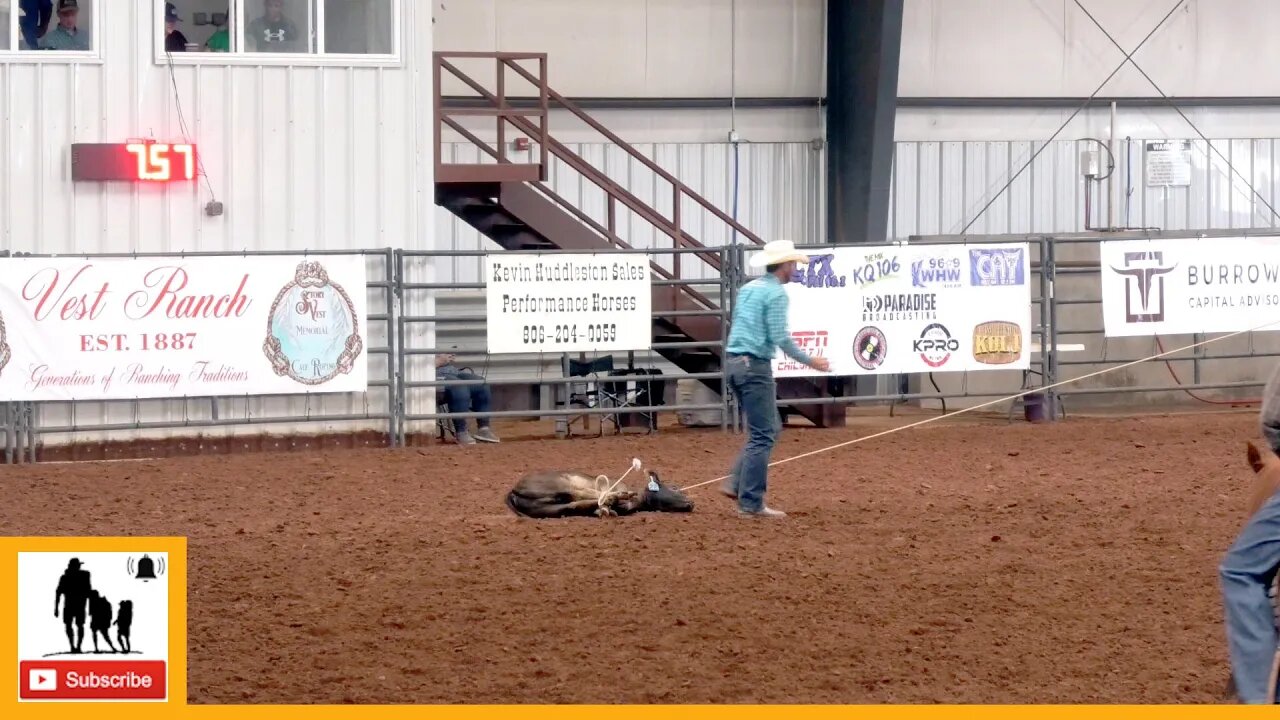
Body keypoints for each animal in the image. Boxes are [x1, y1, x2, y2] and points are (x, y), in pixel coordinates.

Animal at [504, 466, 696, 515]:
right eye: (674, 487)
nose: (691, 503)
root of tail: (513, 490)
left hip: (546, 508)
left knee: (572, 504)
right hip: (559, 484)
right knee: (578, 493)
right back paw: (611, 501)